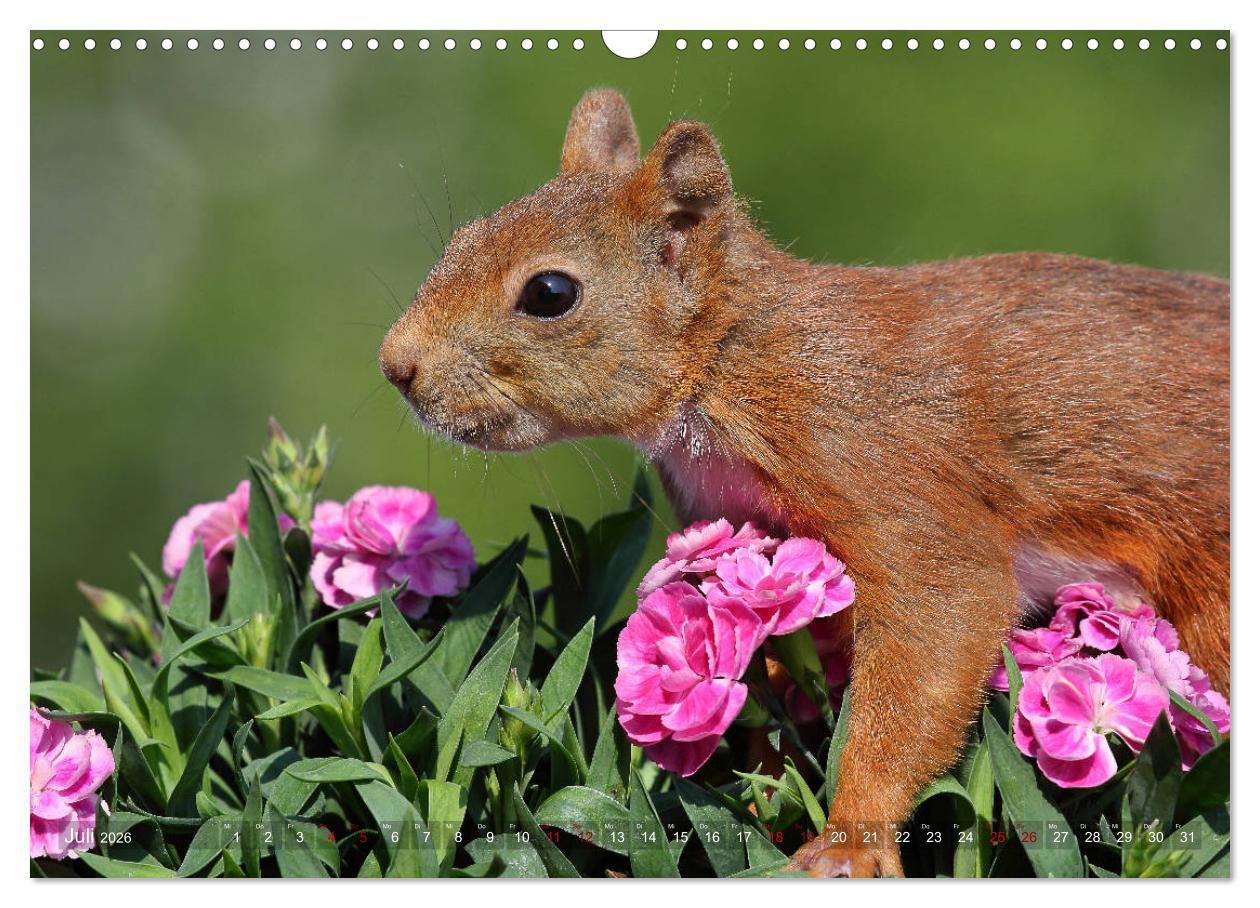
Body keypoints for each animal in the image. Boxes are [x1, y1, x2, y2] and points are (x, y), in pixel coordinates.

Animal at [379, 89, 1230, 877]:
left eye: (550, 293)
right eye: (463, 238)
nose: (396, 366)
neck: (731, 361)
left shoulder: (875, 464)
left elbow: (941, 619)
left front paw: (849, 837)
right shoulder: (748, 528)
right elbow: (767, 665)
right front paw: (760, 789)